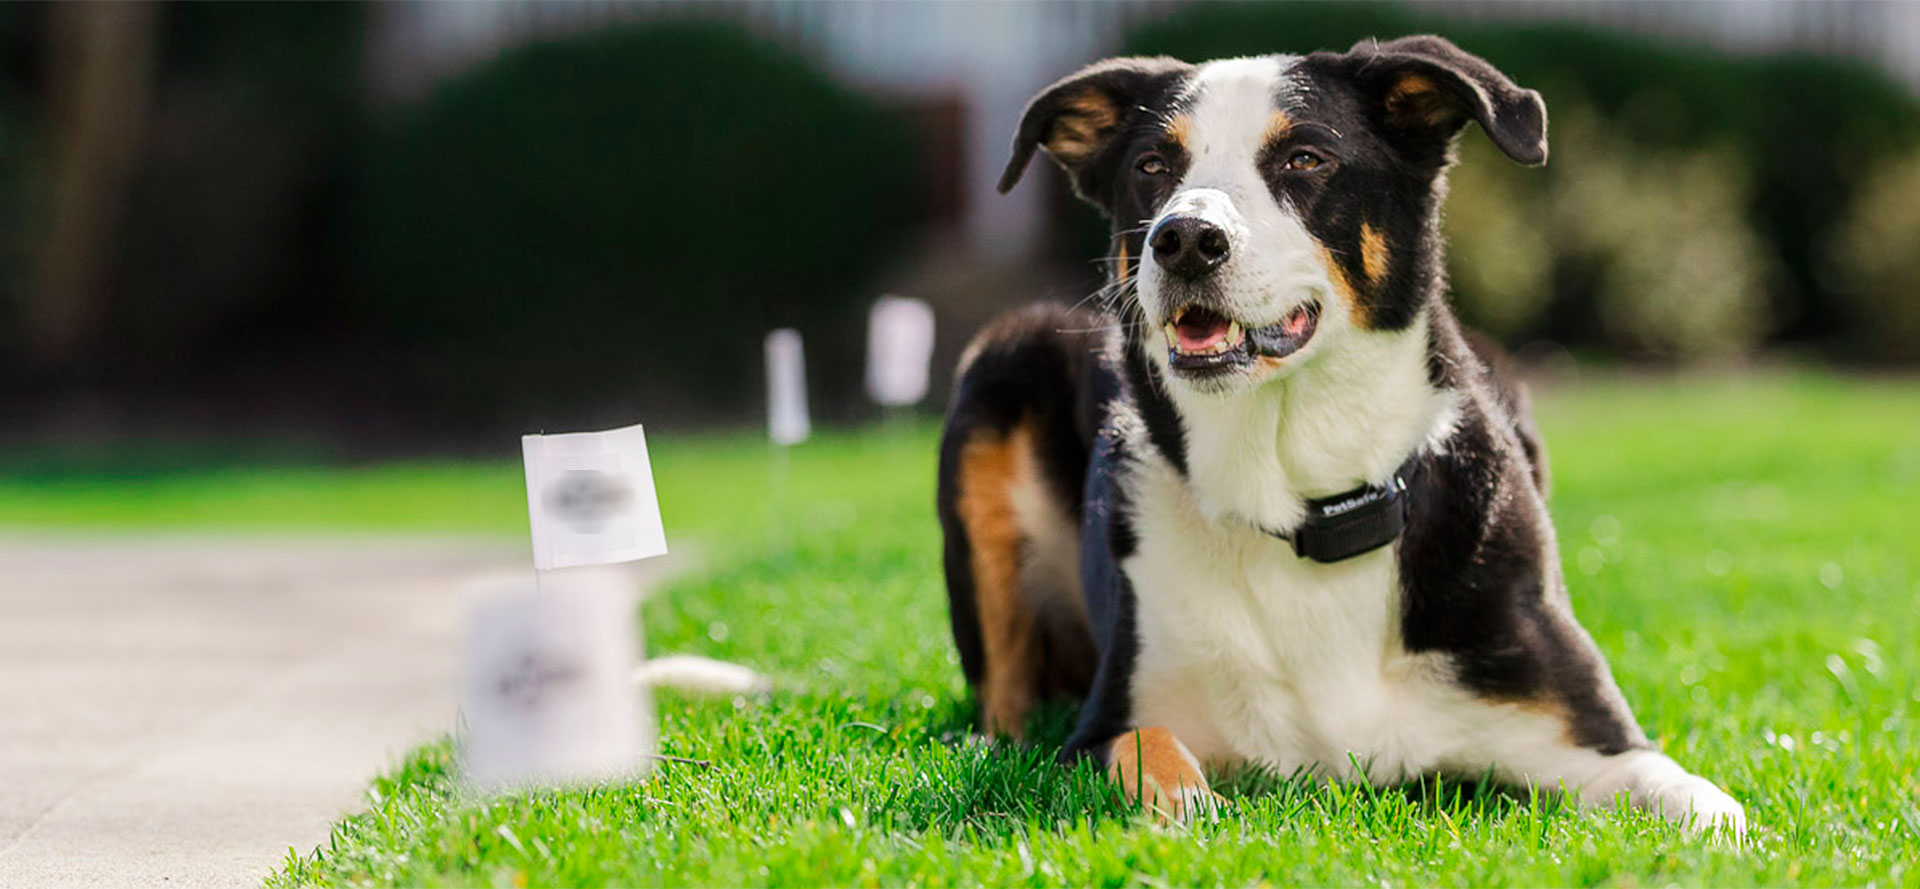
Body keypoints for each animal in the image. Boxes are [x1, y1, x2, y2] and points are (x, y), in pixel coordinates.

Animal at [936, 36, 1751, 840]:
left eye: (1305, 158)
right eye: (1152, 167)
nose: (1186, 238)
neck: (1307, 502)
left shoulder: (1591, 736)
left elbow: (1704, 805)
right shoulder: (1101, 729)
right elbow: (1148, 749)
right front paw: (1189, 809)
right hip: (1000, 365)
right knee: (1005, 706)